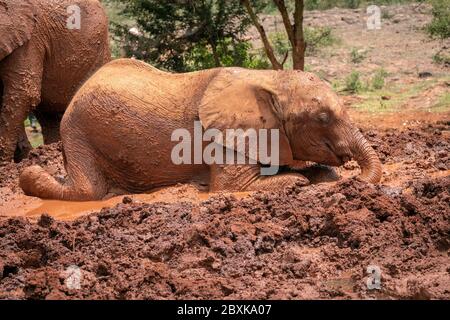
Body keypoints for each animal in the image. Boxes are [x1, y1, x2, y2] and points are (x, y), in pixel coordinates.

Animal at [19, 58, 382, 200]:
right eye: (322, 117)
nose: (355, 182)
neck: (270, 79)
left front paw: (323, 177)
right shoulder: (221, 136)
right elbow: (233, 186)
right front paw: (300, 182)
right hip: (78, 129)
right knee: (86, 192)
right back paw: (31, 175)